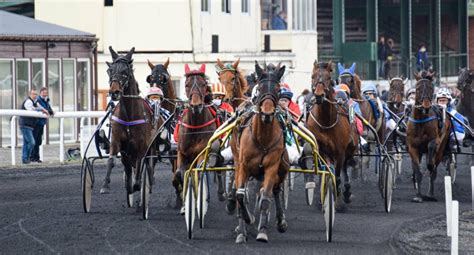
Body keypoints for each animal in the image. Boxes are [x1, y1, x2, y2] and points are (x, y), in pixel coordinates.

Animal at [99, 46, 156, 202]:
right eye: (109, 70)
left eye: (125, 71)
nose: (114, 92)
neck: (130, 115)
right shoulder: (117, 140)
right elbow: (111, 160)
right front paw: (105, 185)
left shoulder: (142, 145)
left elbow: (140, 164)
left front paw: (138, 184)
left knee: (147, 165)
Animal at [173, 64, 219, 211]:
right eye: (186, 85)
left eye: (203, 84)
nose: (196, 105)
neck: (194, 126)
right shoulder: (181, 152)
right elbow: (179, 173)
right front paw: (183, 204)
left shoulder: (202, 152)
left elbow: (197, 173)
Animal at [230, 61, 288, 243]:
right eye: (261, 88)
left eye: (278, 89)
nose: (267, 113)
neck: (262, 138)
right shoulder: (243, 165)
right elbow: (240, 196)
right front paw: (244, 226)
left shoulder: (272, 166)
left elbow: (266, 199)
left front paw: (262, 231)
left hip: (283, 166)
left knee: (276, 190)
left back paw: (281, 221)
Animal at [308, 59, 360, 211]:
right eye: (313, 76)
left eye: (328, 77)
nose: (319, 95)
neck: (325, 121)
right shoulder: (322, 150)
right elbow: (326, 173)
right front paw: (324, 199)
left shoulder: (340, 151)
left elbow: (337, 175)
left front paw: (337, 201)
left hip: (349, 149)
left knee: (345, 167)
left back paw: (346, 192)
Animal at [406, 71, 450, 203]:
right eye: (418, 88)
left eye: (431, 88)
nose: (425, 106)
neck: (420, 120)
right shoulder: (413, 146)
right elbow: (417, 171)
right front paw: (418, 195)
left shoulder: (434, 141)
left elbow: (431, 163)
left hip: (441, 147)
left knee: (434, 169)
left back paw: (430, 194)